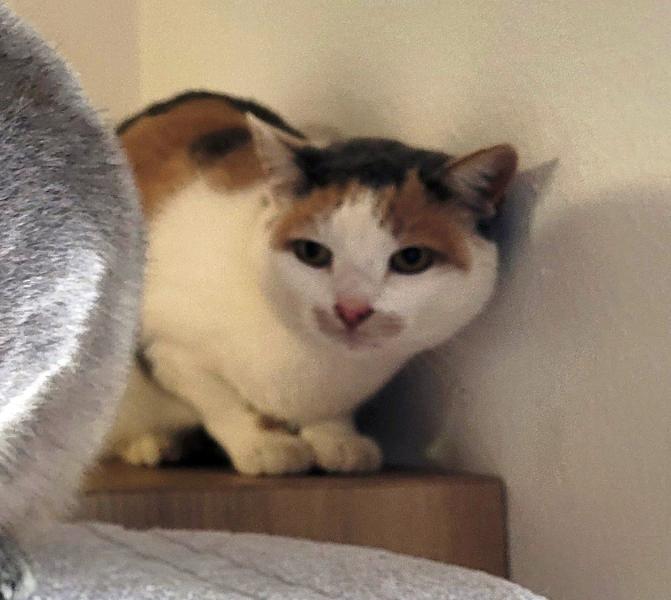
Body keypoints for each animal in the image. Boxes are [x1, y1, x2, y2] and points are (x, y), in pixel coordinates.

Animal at [103, 90, 516, 476]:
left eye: (412, 259)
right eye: (312, 252)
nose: (351, 309)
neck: (313, 359)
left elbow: (332, 412)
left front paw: (336, 439)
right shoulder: (168, 347)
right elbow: (224, 403)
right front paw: (264, 444)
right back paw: (152, 444)